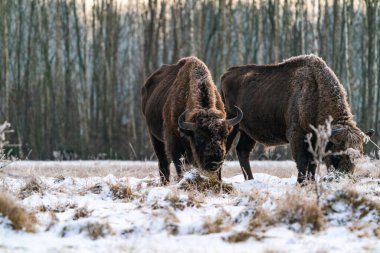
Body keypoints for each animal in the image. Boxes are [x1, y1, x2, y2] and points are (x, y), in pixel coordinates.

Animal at [142, 56, 243, 184]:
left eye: (225, 136)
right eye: (199, 137)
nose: (215, 161)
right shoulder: (175, 145)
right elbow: (179, 166)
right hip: (155, 137)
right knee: (163, 162)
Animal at [221, 54, 372, 184]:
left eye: (358, 157)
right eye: (336, 155)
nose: (344, 179)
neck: (316, 94)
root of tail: (226, 74)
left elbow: (312, 164)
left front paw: (310, 182)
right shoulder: (297, 136)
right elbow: (302, 162)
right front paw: (301, 183)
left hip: (248, 132)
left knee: (242, 151)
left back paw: (250, 180)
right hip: (232, 125)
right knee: (226, 148)